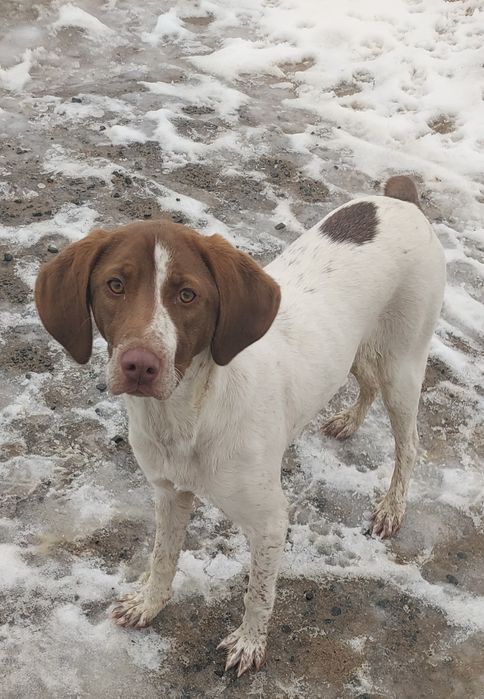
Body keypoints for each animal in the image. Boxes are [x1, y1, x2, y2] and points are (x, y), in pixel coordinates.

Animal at [35, 176, 445, 675]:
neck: (189, 417)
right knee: (364, 382)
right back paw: (348, 421)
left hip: (403, 366)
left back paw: (392, 508)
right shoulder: (168, 493)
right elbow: (163, 557)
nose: (140, 365)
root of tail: (400, 197)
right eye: (114, 285)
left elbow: (258, 593)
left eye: (187, 295)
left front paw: (250, 644)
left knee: (409, 444)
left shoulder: (270, 523)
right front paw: (149, 604)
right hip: (358, 350)